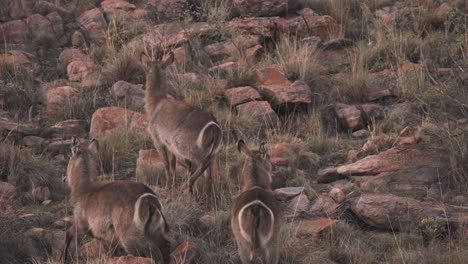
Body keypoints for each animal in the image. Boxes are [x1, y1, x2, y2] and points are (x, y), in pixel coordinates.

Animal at [141, 52, 223, 196]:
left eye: (147, 68)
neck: (156, 102)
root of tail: (213, 126)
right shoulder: (170, 145)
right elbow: (173, 163)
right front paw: (173, 184)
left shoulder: (158, 141)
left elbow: (166, 164)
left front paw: (168, 186)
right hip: (212, 152)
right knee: (210, 173)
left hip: (187, 147)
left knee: (203, 165)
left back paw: (185, 186)